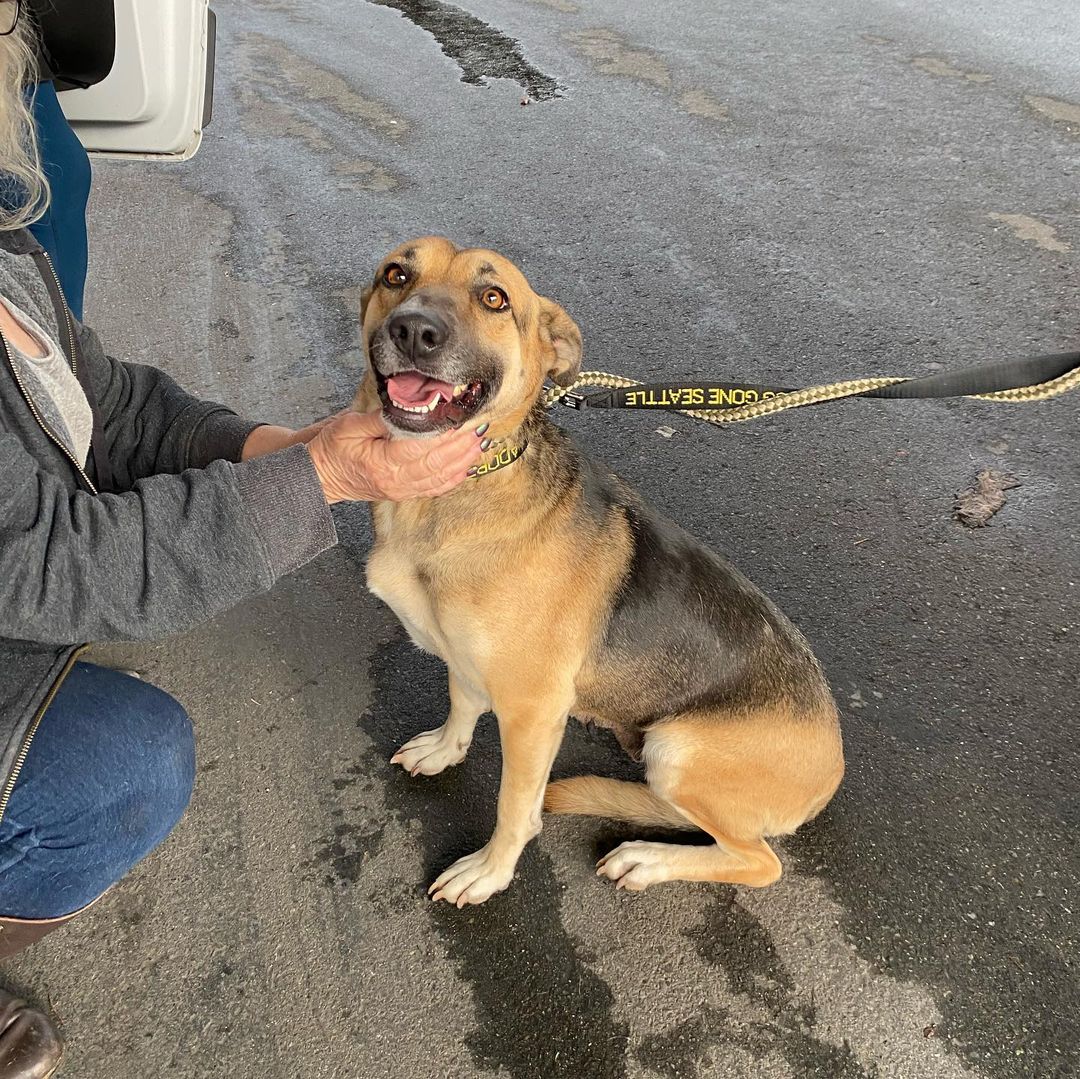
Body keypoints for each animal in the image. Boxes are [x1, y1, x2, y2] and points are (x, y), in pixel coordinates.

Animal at [354, 240, 842, 907]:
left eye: (494, 298)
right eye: (396, 274)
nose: (413, 331)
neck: (450, 494)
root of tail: (832, 767)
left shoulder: (532, 712)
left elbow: (515, 808)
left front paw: (489, 872)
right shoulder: (468, 660)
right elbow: (460, 703)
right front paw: (445, 749)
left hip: (677, 749)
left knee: (758, 861)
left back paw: (648, 858)